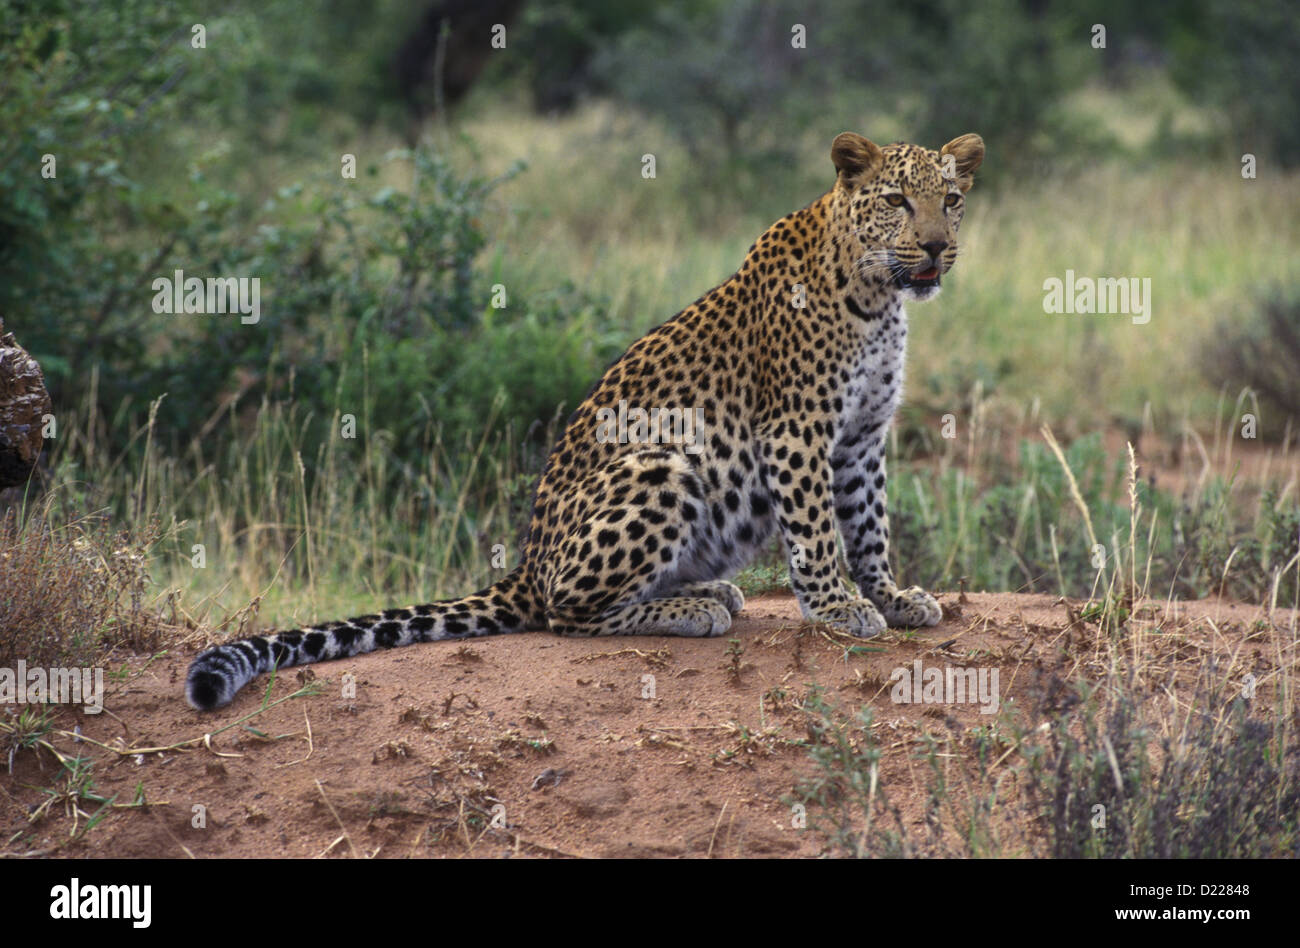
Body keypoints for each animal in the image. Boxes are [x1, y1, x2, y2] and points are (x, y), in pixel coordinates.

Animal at [188, 133, 982, 707]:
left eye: (950, 199)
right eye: (896, 200)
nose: (938, 246)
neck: (879, 297)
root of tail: (525, 565)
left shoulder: (862, 438)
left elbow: (869, 524)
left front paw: (892, 597)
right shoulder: (797, 429)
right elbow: (818, 531)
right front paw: (837, 608)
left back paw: (705, 590)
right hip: (660, 462)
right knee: (567, 612)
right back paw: (692, 610)